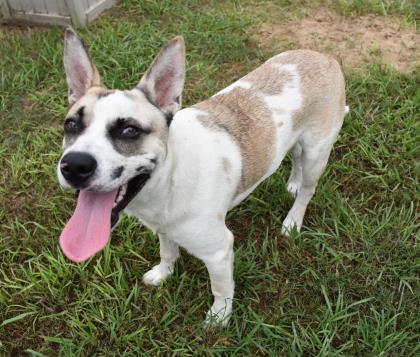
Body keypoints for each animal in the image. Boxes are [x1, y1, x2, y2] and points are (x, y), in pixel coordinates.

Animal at [57, 29, 346, 326]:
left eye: (129, 130)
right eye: (71, 125)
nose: (74, 165)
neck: (169, 179)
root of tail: (324, 56)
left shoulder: (219, 251)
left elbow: (221, 288)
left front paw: (219, 318)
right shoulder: (164, 229)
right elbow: (167, 252)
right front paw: (162, 274)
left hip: (316, 154)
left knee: (308, 191)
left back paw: (292, 221)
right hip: (300, 145)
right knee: (296, 160)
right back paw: (293, 183)